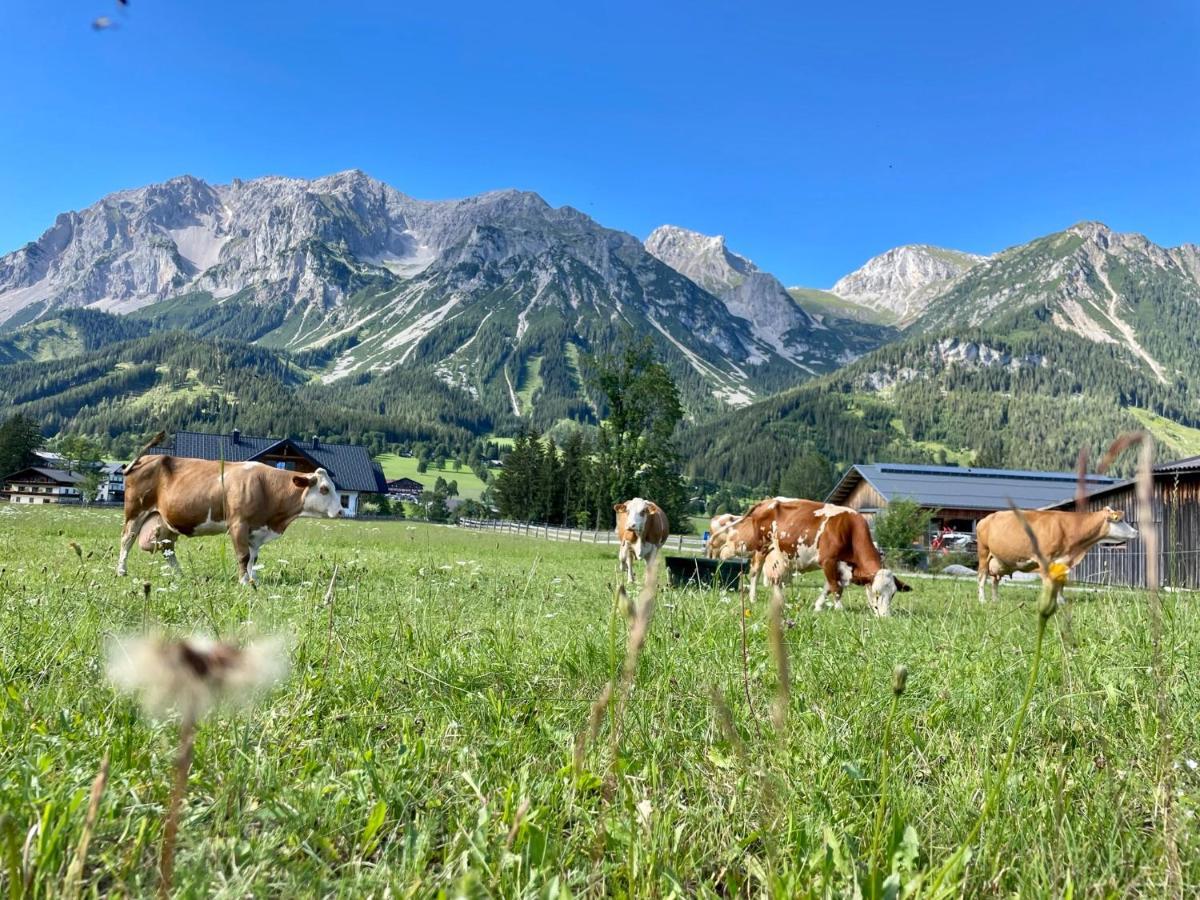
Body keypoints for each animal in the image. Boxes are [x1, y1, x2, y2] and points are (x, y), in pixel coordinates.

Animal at [118, 434, 343, 588]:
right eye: (324, 489)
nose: (341, 511)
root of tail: (145, 459)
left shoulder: (256, 530)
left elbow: (253, 558)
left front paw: (254, 580)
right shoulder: (238, 524)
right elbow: (243, 556)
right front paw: (244, 582)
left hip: (165, 522)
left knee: (167, 549)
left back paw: (180, 575)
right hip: (135, 512)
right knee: (127, 539)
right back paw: (121, 571)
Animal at [710, 496, 907, 619]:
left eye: (893, 594)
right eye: (876, 593)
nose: (885, 617)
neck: (850, 531)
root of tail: (767, 501)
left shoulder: (841, 565)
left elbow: (829, 586)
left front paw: (818, 606)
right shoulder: (828, 561)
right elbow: (836, 587)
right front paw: (839, 608)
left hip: (780, 554)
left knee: (776, 579)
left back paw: (780, 600)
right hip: (762, 546)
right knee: (755, 572)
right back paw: (753, 597)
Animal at [974, 508, 1132, 607]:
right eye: (1120, 520)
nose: (1135, 531)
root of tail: (985, 519)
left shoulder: (1063, 562)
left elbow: (1060, 585)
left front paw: (1061, 602)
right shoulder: (1044, 559)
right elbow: (1048, 584)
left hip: (998, 561)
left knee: (995, 581)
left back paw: (995, 600)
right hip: (984, 553)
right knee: (982, 578)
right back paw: (982, 600)